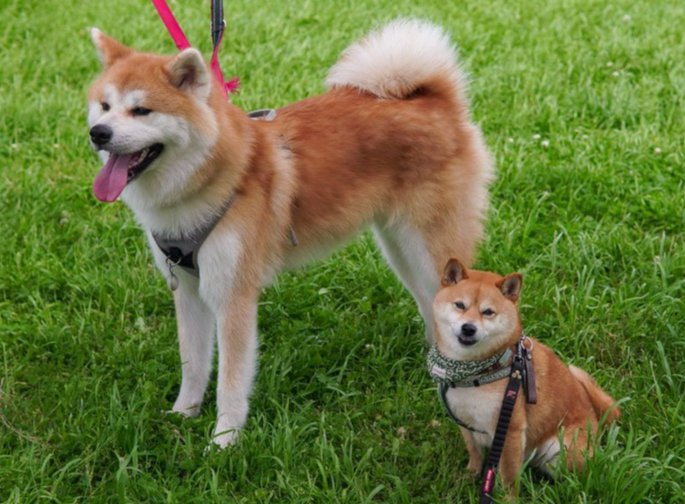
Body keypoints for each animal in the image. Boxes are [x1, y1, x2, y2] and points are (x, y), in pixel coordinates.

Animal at [87, 19, 492, 446]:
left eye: (142, 110)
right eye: (105, 106)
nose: (99, 132)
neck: (206, 180)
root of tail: (434, 102)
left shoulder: (233, 296)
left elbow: (230, 380)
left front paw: (224, 440)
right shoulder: (189, 289)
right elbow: (193, 364)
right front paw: (184, 414)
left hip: (428, 247)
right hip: (400, 248)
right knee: (431, 304)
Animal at [432, 260, 620, 496]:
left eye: (488, 312)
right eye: (459, 305)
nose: (468, 328)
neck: (478, 371)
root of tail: (596, 422)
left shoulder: (509, 429)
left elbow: (509, 477)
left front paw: (506, 498)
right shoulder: (465, 423)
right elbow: (474, 452)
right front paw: (470, 476)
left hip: (559, 449)